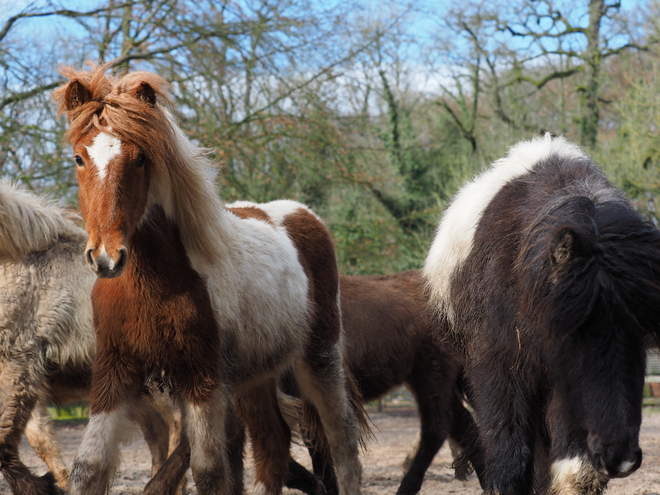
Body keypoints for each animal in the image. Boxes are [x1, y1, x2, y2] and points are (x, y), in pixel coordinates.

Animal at [54, 65, 366, 495]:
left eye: (140, 158)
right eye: (79, 158)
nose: (106, 257)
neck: (154, 282)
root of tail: (305, 215)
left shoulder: (200, 377)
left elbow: (208, 470)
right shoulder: (114, 371)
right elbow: (88, 466)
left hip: (320, 357)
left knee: (342, 441)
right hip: (254, 376)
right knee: (273, 443)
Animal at [422, 134, 660, 494]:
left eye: (642, 333)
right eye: (574, 329)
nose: (621, 459)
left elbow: (575, 472)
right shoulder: (498, 370)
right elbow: (509, 462)